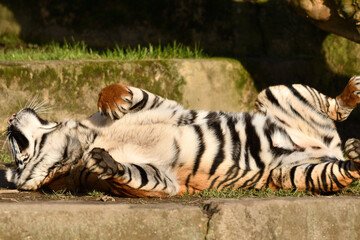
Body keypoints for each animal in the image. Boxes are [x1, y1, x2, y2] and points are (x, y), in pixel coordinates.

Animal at [4, 75, 360, 197]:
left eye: (16, 153)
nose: (8, 117)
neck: (85, 140)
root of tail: (330, 147)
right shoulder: (164, 178)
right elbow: (133, 174)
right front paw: (105, 163)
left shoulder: (161, 105)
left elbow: (125, 93)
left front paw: (114, 100)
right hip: (297, 173)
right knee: (347, 169)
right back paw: (356, 152)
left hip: (276, 92)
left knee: (335, 109)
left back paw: (352, 91)